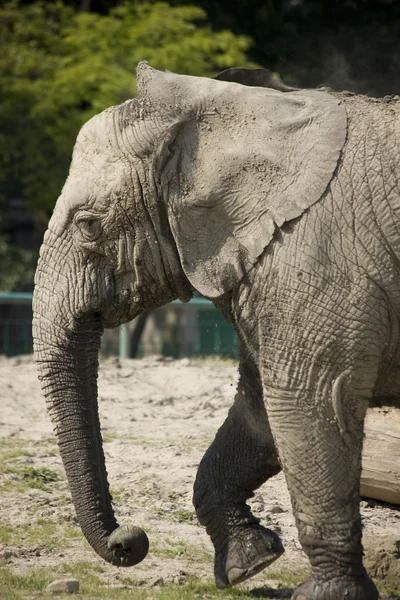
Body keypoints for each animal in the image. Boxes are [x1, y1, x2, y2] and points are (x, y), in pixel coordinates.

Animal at [33, 62, 400, 600]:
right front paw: (249, 565)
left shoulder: (317, 255)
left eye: (88, 225)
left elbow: (308, 406)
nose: (130, 540)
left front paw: (324, 595)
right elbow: (259, 411)